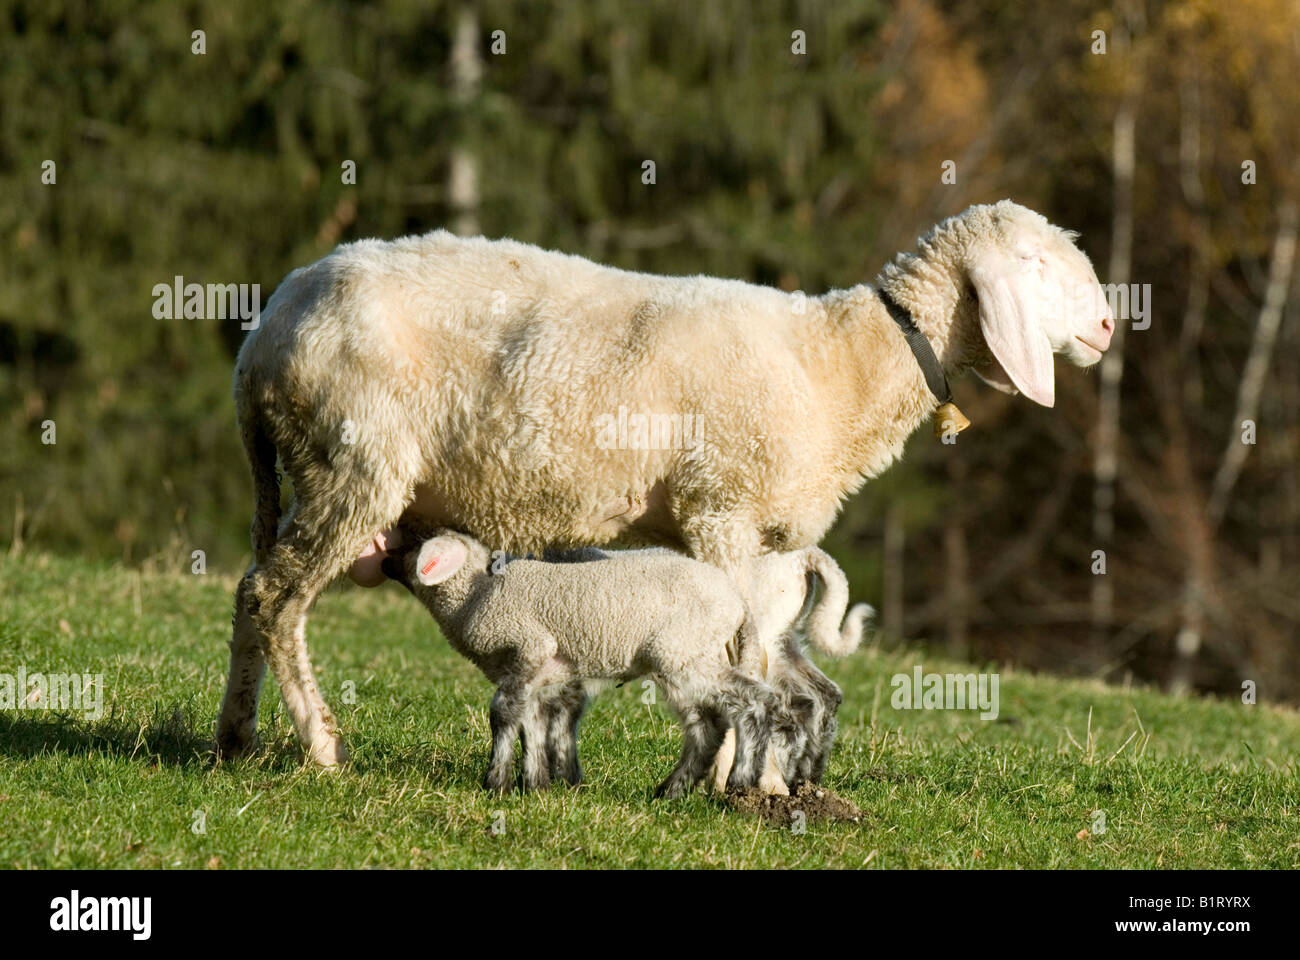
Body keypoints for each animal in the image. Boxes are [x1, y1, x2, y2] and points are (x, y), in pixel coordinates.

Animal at [218, 200, 1112, 764]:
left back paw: (235, 740)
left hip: (309, 468)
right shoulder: (720, 506)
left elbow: (763, 658)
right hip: (356, 459)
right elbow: (742, 655)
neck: (838, 365)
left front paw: (765, 778)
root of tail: (267, 331)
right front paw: (742, 785)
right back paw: (321, 746)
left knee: (248, 589)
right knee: (277, 596)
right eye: (1034, 262)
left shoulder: (763, 539)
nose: (1108, 325)